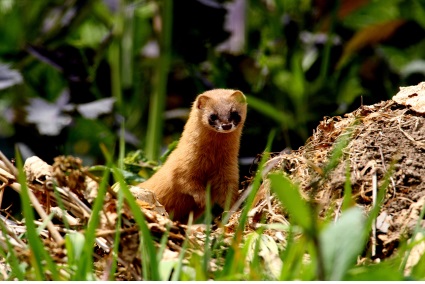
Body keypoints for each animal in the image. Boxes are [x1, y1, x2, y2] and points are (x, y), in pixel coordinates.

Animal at [137, 89, 247, 222]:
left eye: (234, 113)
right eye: (213, 116)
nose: (226, 125)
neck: (211, 161)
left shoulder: (228, 171)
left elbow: (228, 193)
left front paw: (233, 209)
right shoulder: (183, 166)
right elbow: (186, 182)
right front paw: (203, 199)